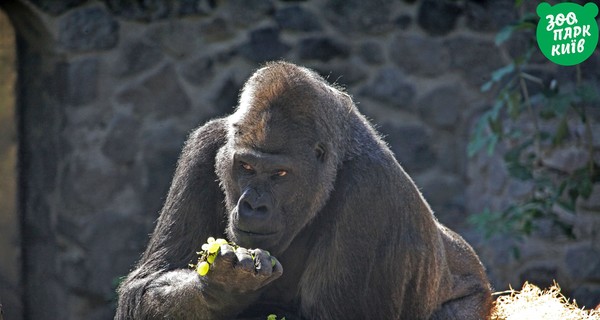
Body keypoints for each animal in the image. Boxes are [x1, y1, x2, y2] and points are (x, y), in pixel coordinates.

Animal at [117, 61, 492, 318]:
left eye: (281, 174)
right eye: (246, 167)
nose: (253, 206)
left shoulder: (370, 192)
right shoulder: (204, 146)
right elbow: (146, 282)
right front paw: (221, 289)